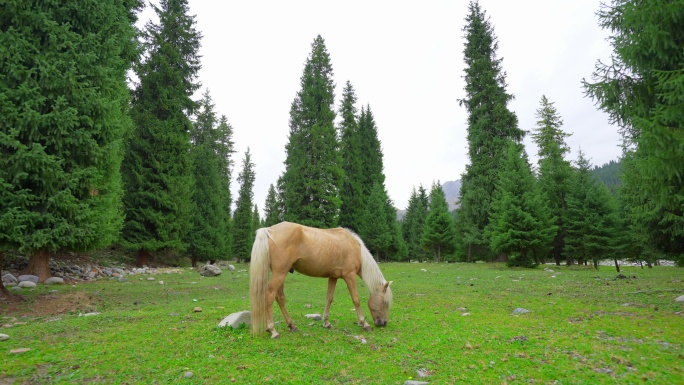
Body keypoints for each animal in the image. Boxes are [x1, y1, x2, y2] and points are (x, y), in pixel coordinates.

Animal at [248, 220, 392, 338]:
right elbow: (356, 299)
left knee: (280, 298)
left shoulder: (333, 277)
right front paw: (364, 323)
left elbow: (329, 298)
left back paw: (291, 325)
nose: (383, 323)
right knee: (269, 296)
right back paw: (273, 330)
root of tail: (269, 230)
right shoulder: (349, 275)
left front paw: (326, 323)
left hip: (281, 273)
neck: (354, 248)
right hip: (280, 273)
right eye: (385, 302)